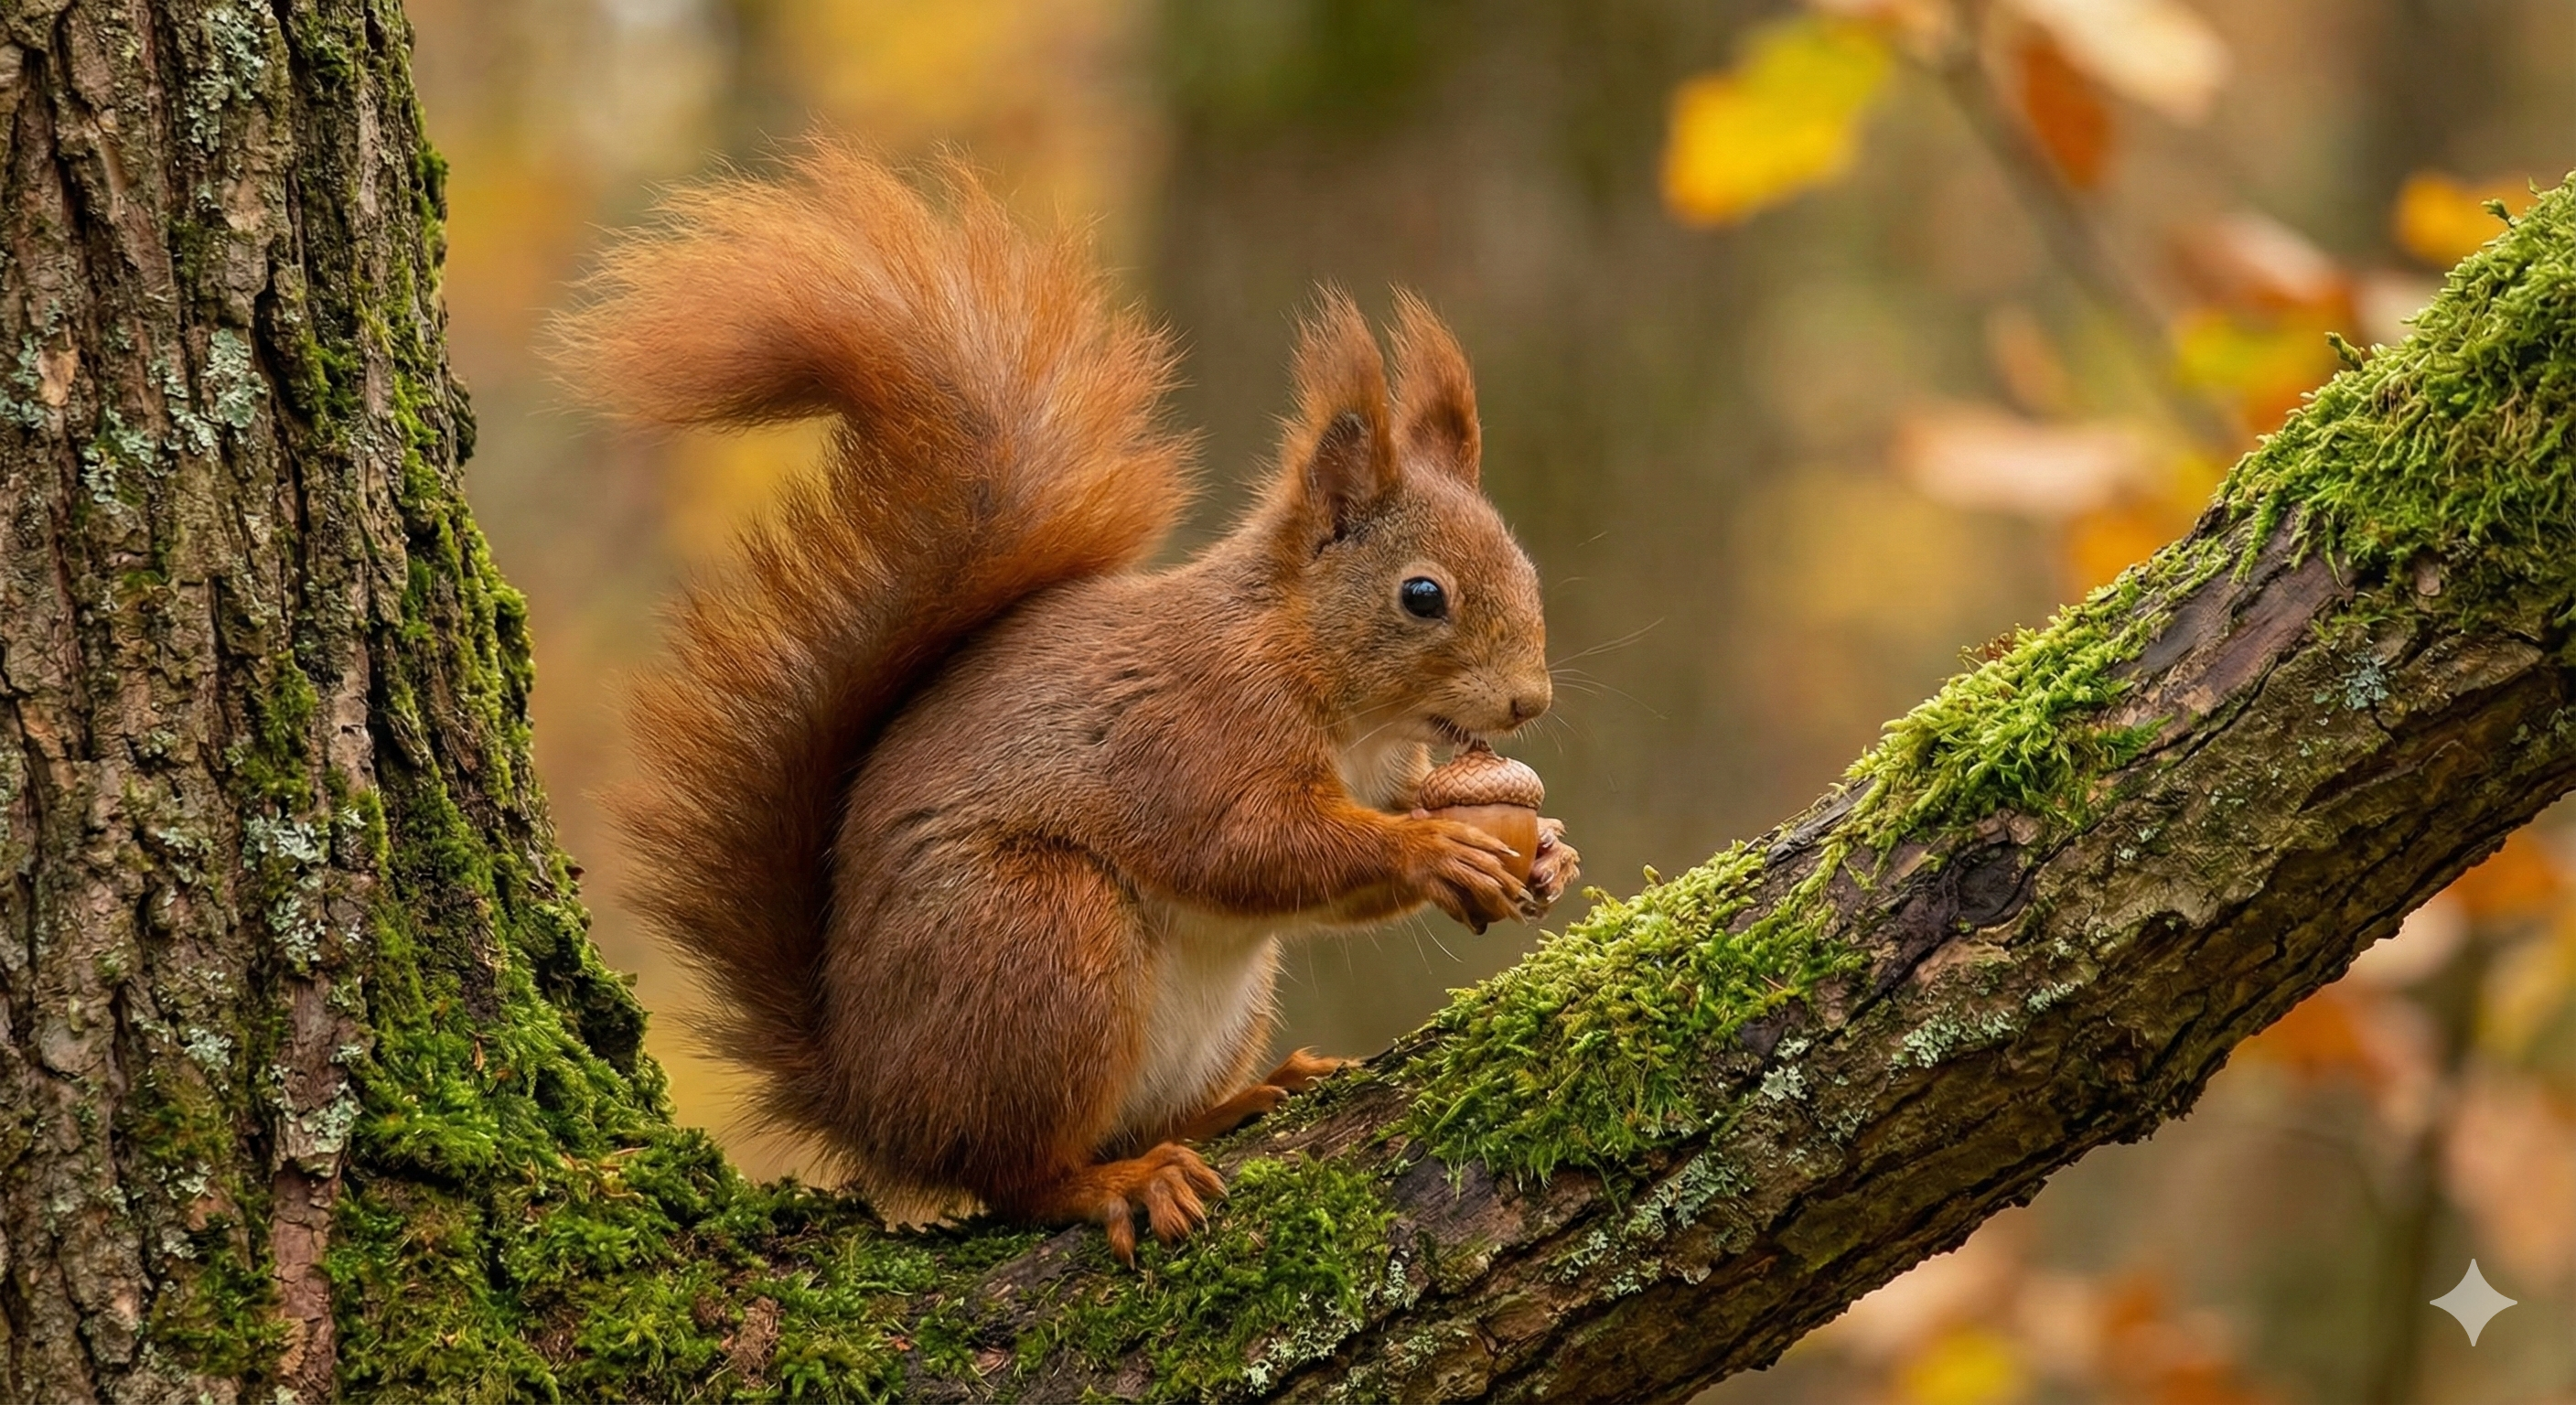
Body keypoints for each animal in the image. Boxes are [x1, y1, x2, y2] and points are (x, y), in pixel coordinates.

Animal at [552, 145, 1579, 1262]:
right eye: (1421, 596)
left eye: (1527, 567)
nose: (1528, 700)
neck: (1325, 685)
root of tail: (870, 1105)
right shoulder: (1198, 732)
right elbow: (1253, 847)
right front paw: (1435, 851)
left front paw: (1546, 852)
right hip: (1040, 941)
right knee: (1013, 1175)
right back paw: (1115, 1180)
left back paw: (1241, 1101)